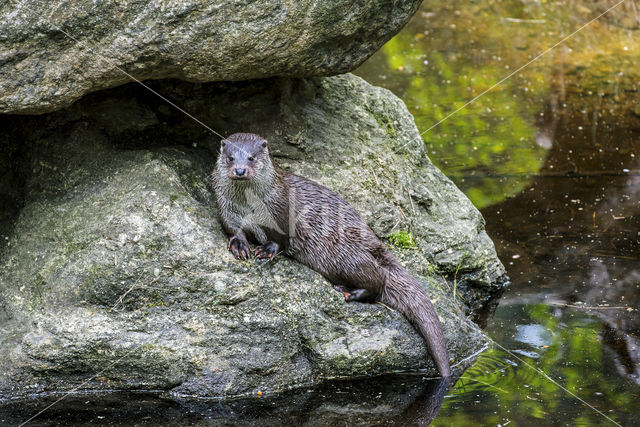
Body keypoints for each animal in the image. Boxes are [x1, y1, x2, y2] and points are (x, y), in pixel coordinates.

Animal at [210, 133, 450, 378]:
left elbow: (281, 239)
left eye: (251, 157)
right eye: (230, 158)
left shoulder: (281, 210)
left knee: (378, 281)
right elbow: (232, 227)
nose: (240, 170)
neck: (250, 207)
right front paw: (240, 244)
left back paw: (349, 292)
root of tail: (375, 245)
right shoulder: (225, 207)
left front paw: (267, 249)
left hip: (346, 257)